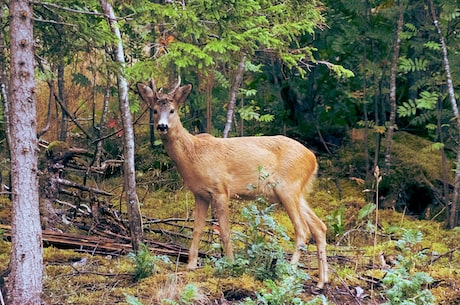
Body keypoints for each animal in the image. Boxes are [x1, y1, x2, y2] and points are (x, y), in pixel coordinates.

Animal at [135, 77, 328, 288]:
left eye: (172, 110)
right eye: (154, 110)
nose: (162, 126)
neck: (194, 155)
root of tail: (313, 159)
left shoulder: (220, 189)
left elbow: (225, 231)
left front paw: (230, 264)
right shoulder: (200, 194)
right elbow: (197, 229)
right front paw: (191, 265)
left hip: (287, 188)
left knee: (302, 230)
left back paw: (289, 274)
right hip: (296, 192)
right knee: (319, 227)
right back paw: (321, 281)